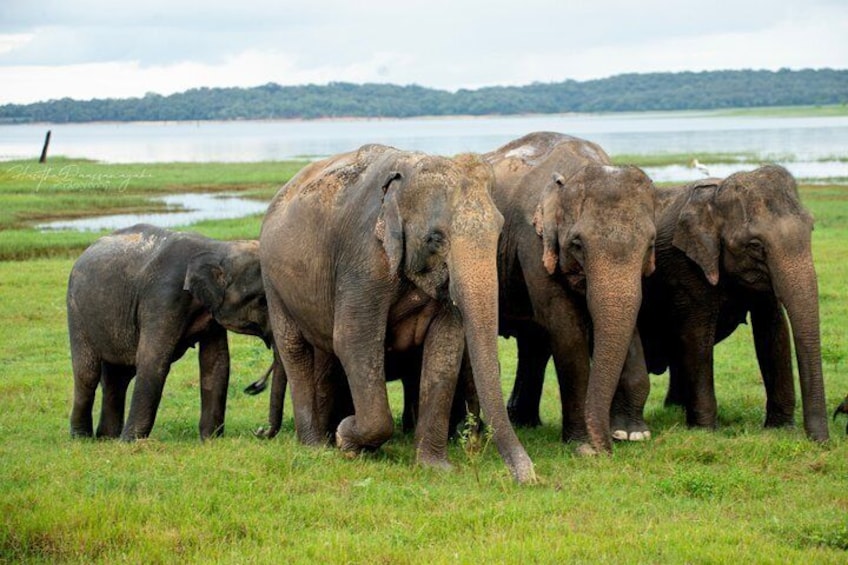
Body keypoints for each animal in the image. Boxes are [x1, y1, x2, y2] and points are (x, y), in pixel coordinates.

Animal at [67, 224, 272, 441]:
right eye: (262, 300)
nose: (254, 387)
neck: (216, 247)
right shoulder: (163, 297)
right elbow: (152, 359)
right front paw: (130, 442)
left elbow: (216, 361)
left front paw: (210, 440)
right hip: (76, 313)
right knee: (87, 373)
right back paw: (83, 438)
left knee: (118, 377)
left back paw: (107, 438)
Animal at [259, 144, 536, 483]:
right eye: (435, 238)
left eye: (498, 232)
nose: (529, 477)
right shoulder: (364, 259)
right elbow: (354, 341)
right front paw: (346, 439)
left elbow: (446, 349)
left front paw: (434, 467)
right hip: (273, 281)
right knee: (295, 350)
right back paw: (315, 446)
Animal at [485, 132, 658, 453]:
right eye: (577, 244)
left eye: (650, 243)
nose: (607, 448)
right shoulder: (532, 242)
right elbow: (566, 328)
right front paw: (584, 447)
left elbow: (630, 322)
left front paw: (632, 434)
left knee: (533, 341)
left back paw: (523, 421)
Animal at [636, 165, 829, 442]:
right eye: (755, 245)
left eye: (811, 229)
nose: (820, 441)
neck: (715, 196)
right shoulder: (685, 264)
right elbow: (697, 336)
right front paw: (705, 432)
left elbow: (774, 331)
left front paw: (780, 428)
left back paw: (674, 410)